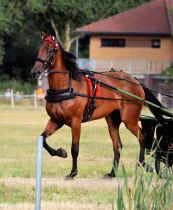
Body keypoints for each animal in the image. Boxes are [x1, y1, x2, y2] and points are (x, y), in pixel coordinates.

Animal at [30, 32, 164, 179]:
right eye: (39, 49)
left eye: (50, 50)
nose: (35, 72)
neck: (67, 87)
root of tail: (135, 80)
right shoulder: (56, 120)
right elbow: (42, 139)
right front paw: (60, 152)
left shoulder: (76, 122)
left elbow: (74, 148)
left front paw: (73, 172)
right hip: (112, 120)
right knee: (117, 145)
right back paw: (112, 173)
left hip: (129, 119)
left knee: (142, 138)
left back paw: (143, 164)